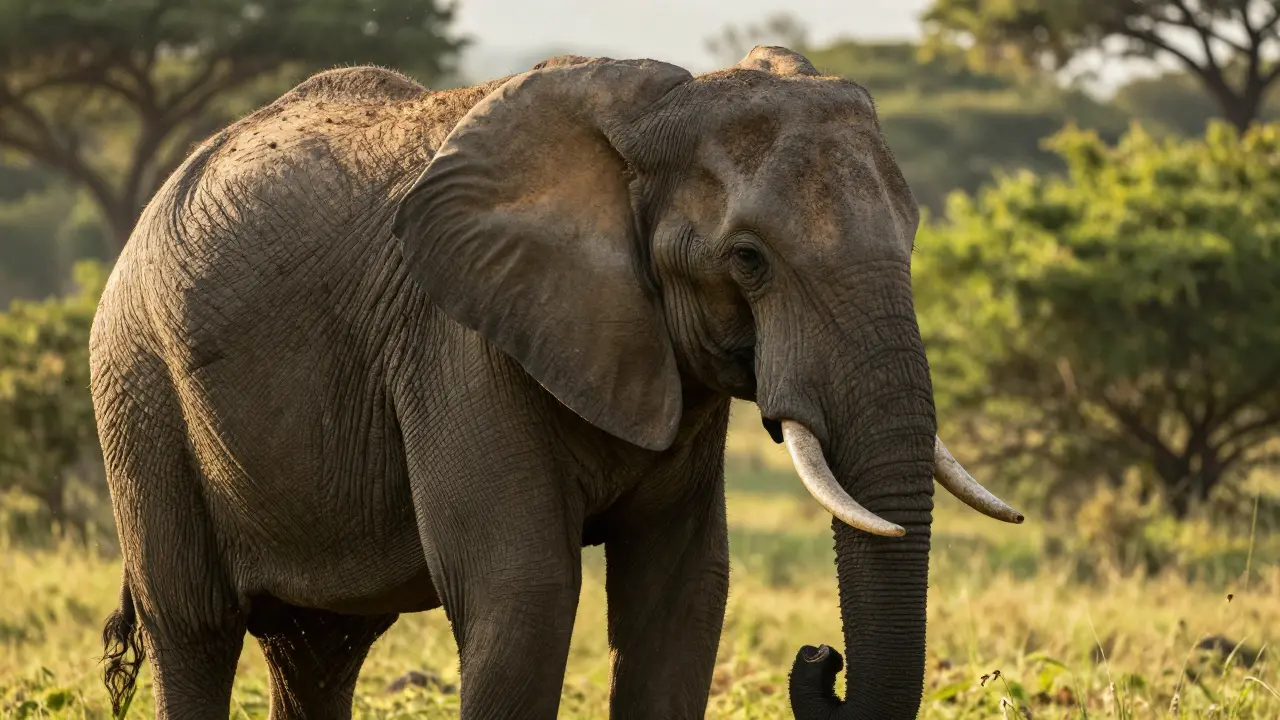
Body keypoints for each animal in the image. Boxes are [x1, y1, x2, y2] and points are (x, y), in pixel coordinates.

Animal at [91, 45, 1022, 720]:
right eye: (749, 260)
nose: (820, 658)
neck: (650, 120)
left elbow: (681, 596)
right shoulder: (457, 344)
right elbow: (525, 596)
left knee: (319, 650)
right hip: (138, 391)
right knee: (196, 630)